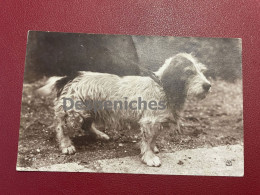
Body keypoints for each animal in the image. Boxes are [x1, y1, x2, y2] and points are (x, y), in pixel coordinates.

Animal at [37, 53, 211, 166]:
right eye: (189, 72)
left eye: (202, 71)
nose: (208, 86)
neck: (163, 88)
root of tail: (69, 78)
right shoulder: (149, 122)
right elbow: (147, 141)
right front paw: (149, 157)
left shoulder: (156, 123)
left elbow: (153, 138)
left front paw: (153, 148)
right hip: (74, 114)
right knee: (61, 127)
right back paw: (66, 145)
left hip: (89, 111)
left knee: (87, 126)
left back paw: (100, 135)